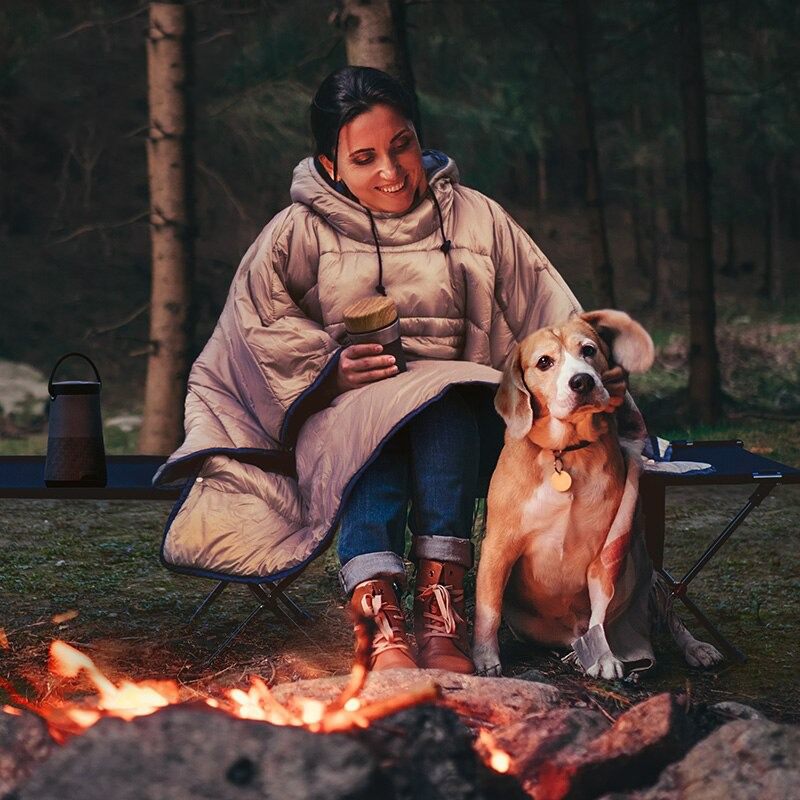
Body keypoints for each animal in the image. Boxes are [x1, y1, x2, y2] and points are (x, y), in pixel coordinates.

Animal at [476, 310, 724, 680]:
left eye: (589, 350)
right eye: (544, 362)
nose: (582, 382)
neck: (565, 453)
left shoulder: (604, 554)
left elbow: (600, 616)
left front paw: (605, 657)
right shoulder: (499, 546)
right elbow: (489, 609)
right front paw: (485, 658)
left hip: (648, 574)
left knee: (670, 618)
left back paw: (696, 648)